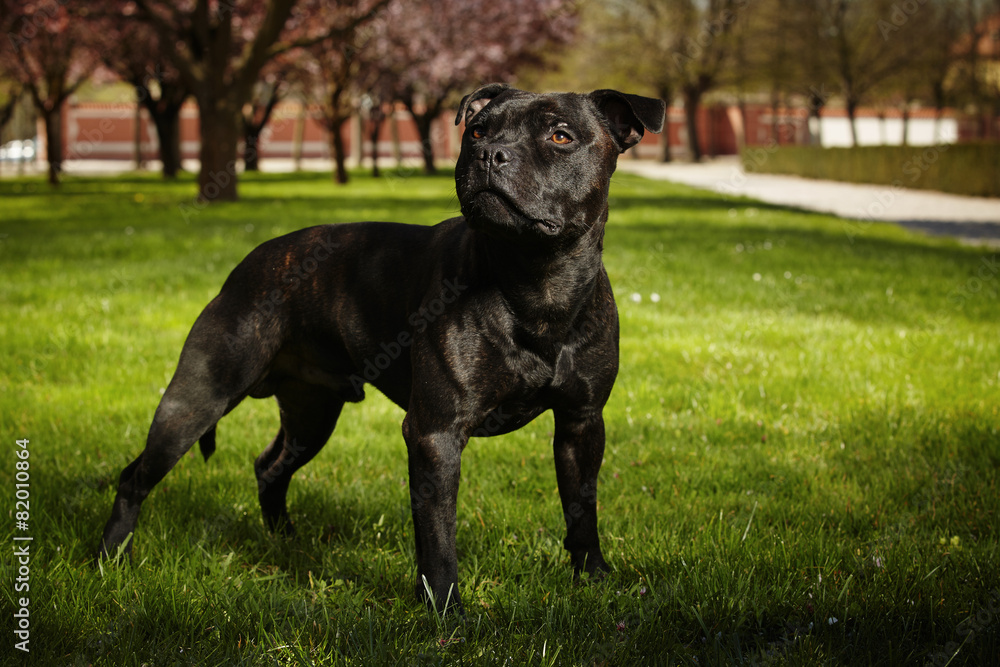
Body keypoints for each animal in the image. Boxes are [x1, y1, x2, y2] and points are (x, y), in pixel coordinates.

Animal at [99, 85, 664, 616]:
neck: (537, 284)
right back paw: (109, 561)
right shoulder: (435, 435)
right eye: (477, 131)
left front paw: (593, 580)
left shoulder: (581, 424)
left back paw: (286, 544)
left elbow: (581, 508)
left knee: (270, 467)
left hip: (311, 414)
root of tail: (252, 260)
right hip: (199, 395)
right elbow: (437, 537)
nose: (490, 154)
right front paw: (445, 612)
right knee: (135, 477)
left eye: (560, 136)